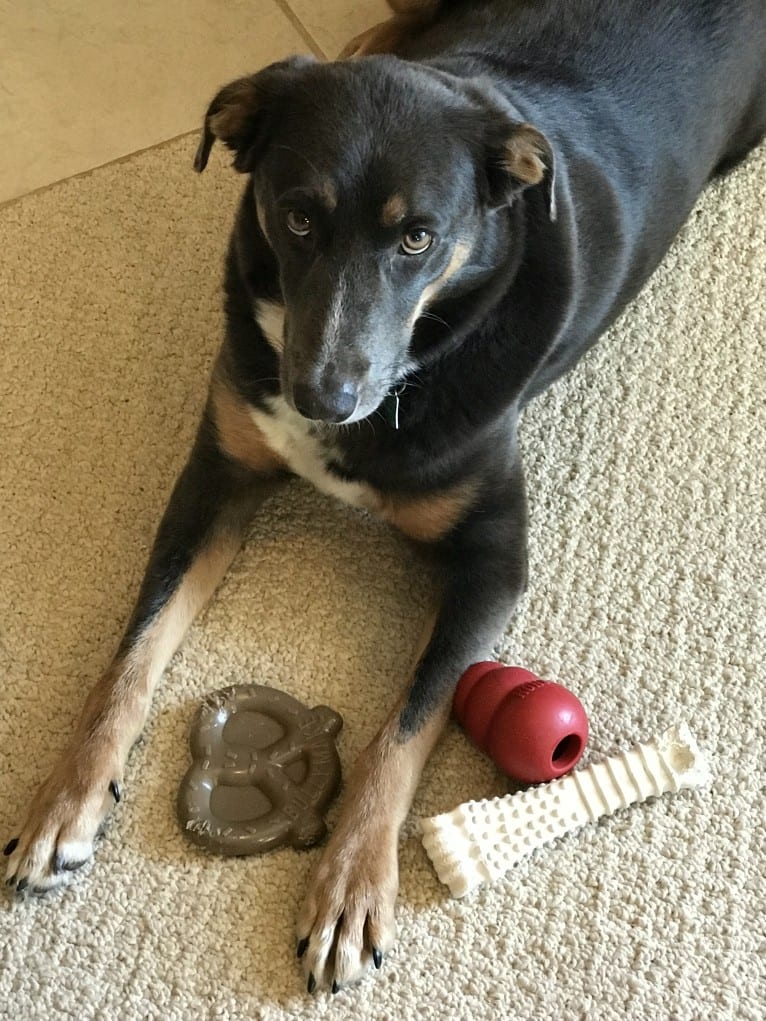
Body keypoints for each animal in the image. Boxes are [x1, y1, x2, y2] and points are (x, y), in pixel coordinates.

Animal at [6, 0, 766, 996]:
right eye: (295, 216)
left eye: (418, 238)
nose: (321, 398)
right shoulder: (216, 475)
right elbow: (130, 655)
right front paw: (65, 801)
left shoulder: (494, 559)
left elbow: (403, 727)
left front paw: (351, 884)